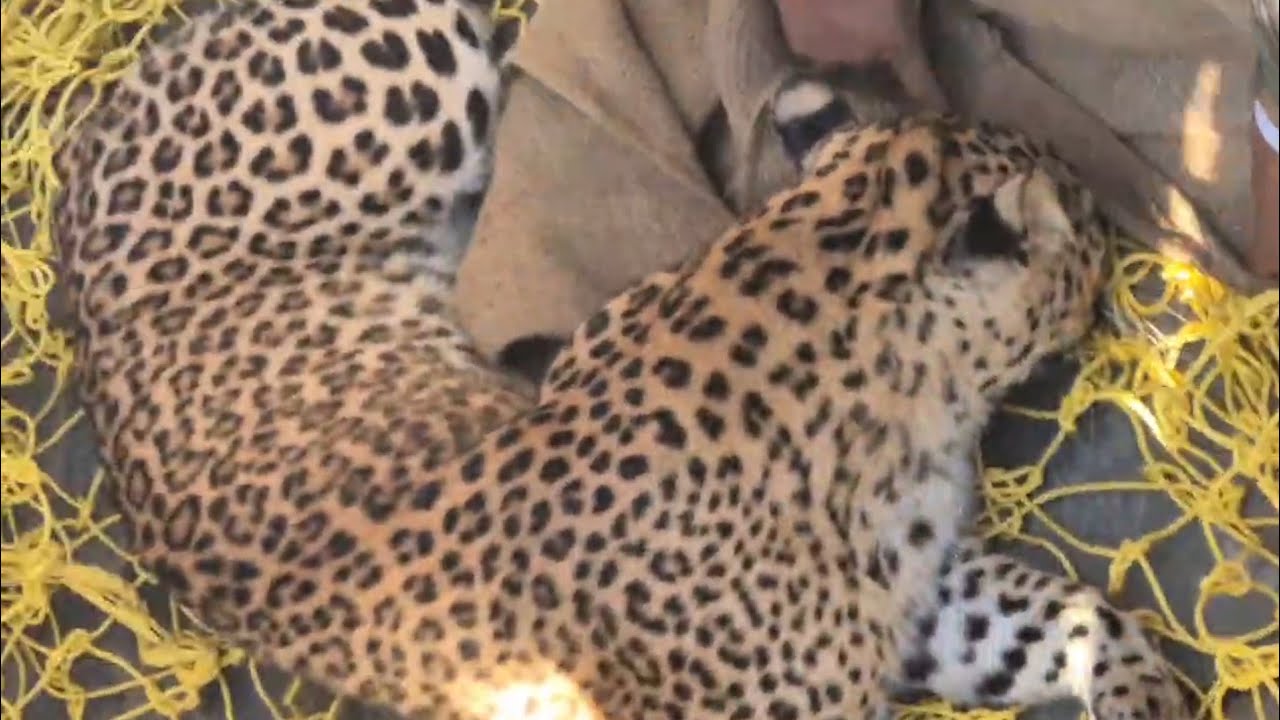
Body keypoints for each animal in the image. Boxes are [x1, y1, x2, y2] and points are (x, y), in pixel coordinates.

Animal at [52, 0, 1191, 715]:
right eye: (1083, 211)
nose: (1103, 213)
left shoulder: (915, 599)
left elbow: (1052, 621)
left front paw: (1140, 691)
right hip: (418, 72)